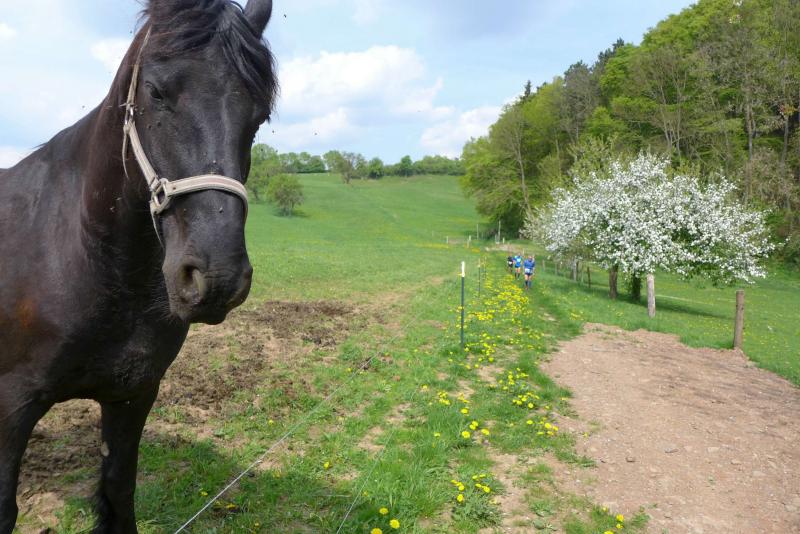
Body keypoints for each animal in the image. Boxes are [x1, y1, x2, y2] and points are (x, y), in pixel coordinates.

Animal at [0, 0, 277, 531]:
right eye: (156, 91)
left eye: (259, 114)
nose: (217, 278)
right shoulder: (11, 407)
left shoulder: (133, 395)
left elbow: (118, 492)